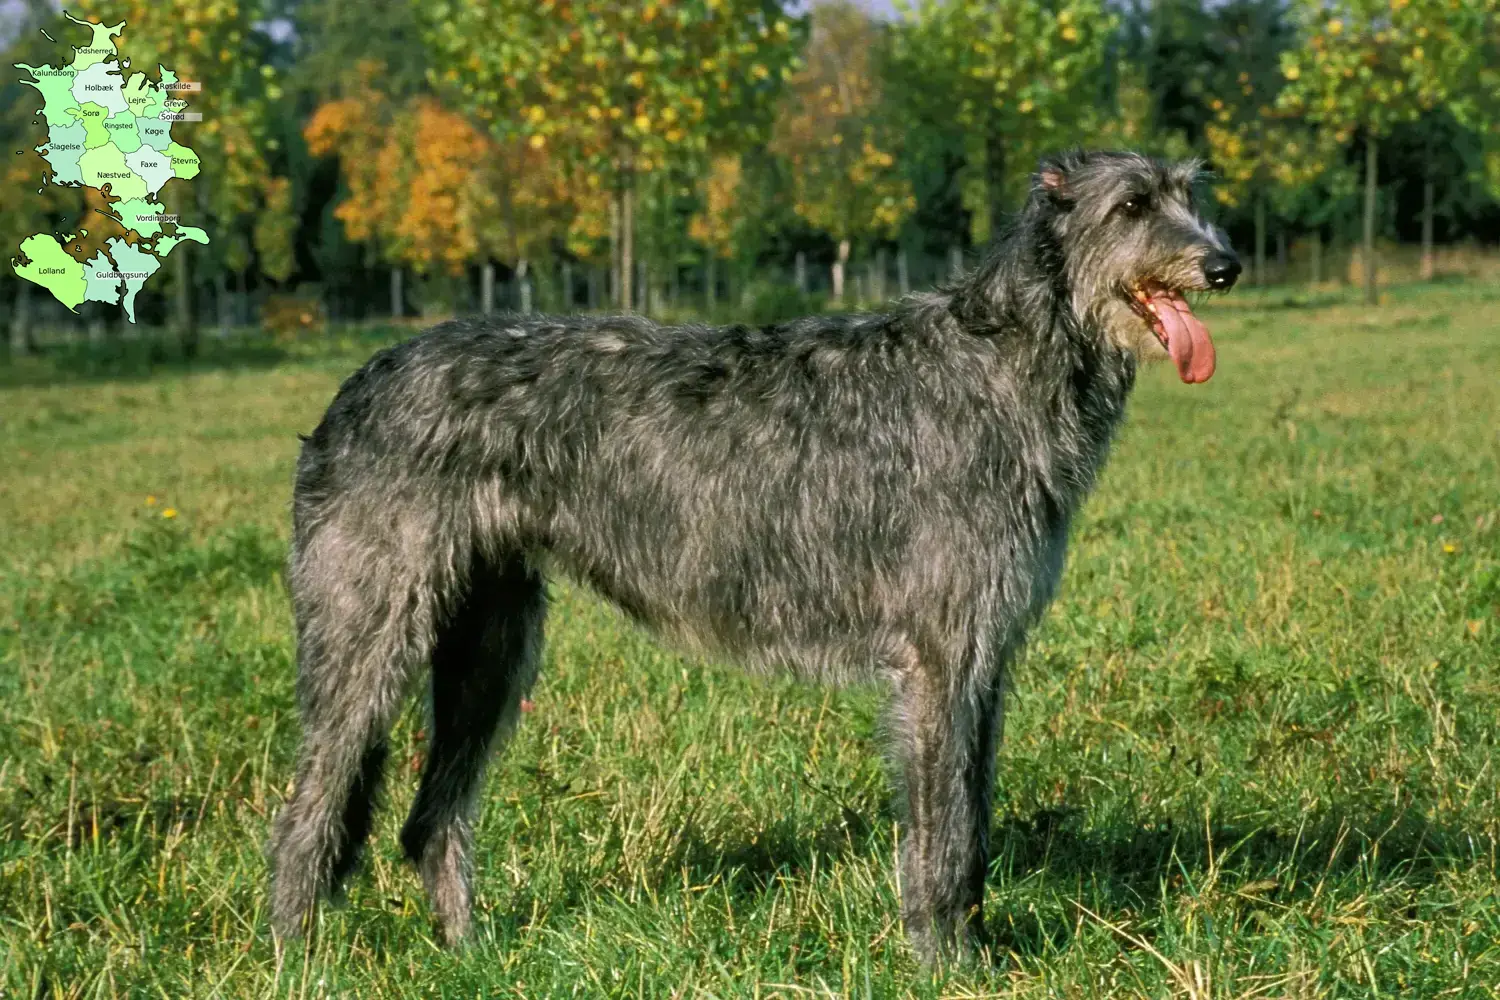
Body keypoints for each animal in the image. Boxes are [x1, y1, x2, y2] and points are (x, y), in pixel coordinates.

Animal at [267, 150, 1242, 959]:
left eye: (1190, 195)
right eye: (1132, 204)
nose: (1223, 265)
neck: (1002, 361)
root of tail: (351, 390)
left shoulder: (984, 659)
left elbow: (972, 820)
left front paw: (971, 948)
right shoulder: (938, 659)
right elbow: (942, 832)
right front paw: (948, 962)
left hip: (490, 643)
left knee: (429, 819)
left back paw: (470, 957)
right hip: (370, 630)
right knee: (307, 812)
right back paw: (298, 959)